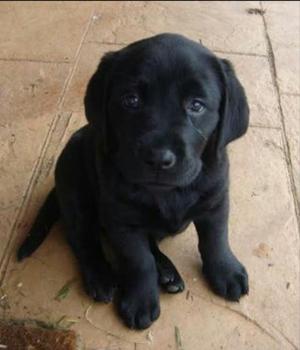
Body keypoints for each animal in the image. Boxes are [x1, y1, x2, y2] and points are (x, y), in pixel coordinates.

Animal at [17, 32, 250, 328]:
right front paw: (140, 301)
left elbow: (216, 240)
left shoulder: (215, 201)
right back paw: (102, 277)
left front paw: (226, 272)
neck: (167, 193)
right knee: (81, 238)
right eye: (131, 100)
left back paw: (167, 272)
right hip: (75, 190)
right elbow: (138, 261)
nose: (159, 158)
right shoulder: (122, 221)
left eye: (196, 105)